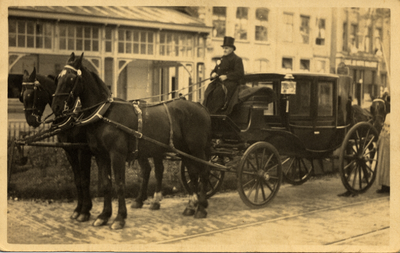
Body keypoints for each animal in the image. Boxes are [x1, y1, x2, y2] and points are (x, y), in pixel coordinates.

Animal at [19, 67, 93, 221]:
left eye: (32, 95)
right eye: (21, 96)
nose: (30, 120)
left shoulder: (83, 150)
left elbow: (85, 179)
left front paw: (85, 210)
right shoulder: (69, 150)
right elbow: (77, 179)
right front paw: (78, 209)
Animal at [52, 52, 212, 229]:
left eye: (71, 78)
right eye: (58, 77)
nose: (56, 106)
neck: (105, 113)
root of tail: (200, 106)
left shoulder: (116, 155)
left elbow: (120, 184)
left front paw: (119, 218)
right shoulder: (101, 156)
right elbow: (105, 185)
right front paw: (104, 215)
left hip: (196, 149)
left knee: (204, 171)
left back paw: (201, 207)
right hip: (184, 150)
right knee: (192, 171)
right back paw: (192, 205)